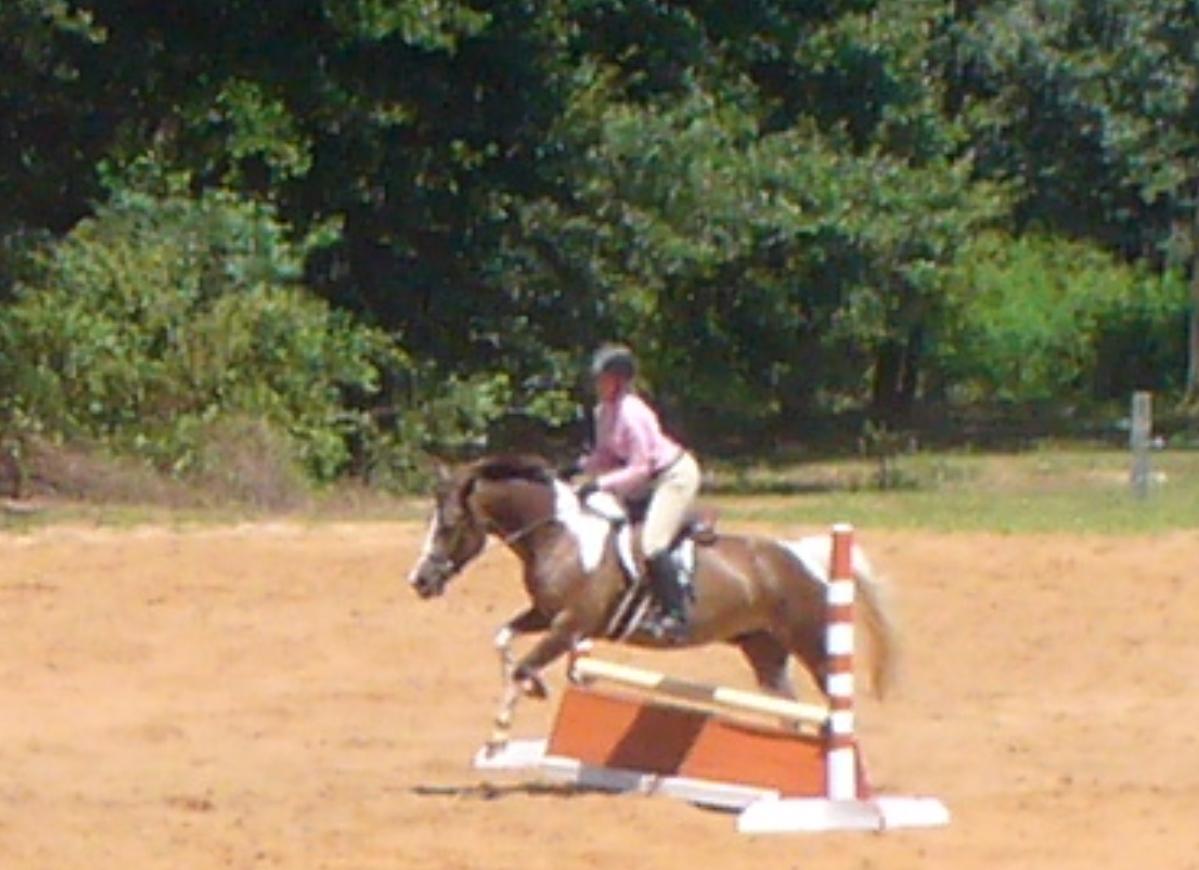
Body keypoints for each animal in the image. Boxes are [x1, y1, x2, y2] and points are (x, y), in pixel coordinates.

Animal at [407, 452, 896, 752]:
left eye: (449, 524)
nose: (420, 581)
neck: (559, 537)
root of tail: (801, 554)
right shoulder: (546, 615)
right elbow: (504, 640)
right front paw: (534, 690)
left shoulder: (569, 625)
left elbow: (524, 664)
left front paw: (500, 734)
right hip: (764, 649)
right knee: (788, 709)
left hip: (810, 640)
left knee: (833, 696)